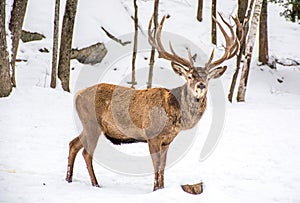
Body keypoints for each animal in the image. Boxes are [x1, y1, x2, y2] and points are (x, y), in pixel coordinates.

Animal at [65, 13, 244, 191]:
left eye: (206, 77)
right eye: (190, 76)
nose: (201, 85)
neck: (176, 116)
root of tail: (77, 95)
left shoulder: (167, 141)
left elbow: (163, 166)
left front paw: (161, 188)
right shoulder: (152, 136)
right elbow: (156, 165)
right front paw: (155, 189)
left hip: (90, 125)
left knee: (73, 144)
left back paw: (69, 179)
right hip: (92, 123)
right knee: (86, 152)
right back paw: (95, 183)